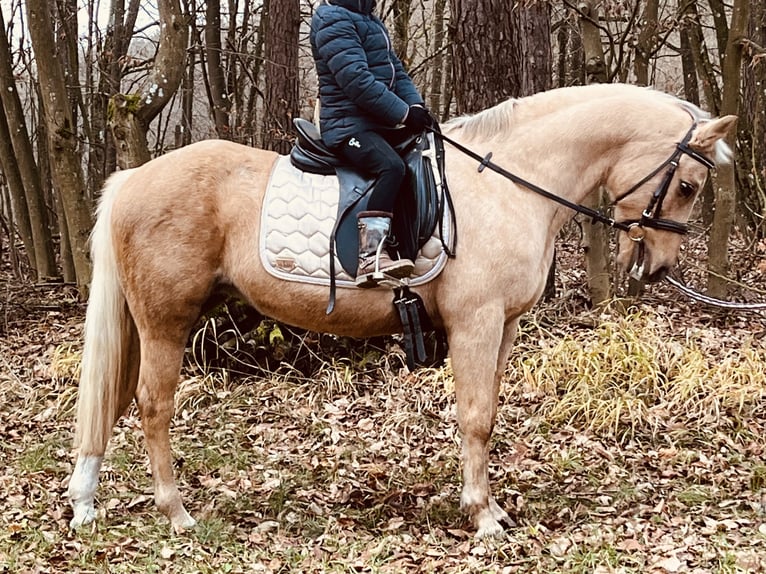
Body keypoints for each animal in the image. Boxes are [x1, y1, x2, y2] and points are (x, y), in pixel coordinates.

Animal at [67, 84, 736, 540]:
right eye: (688, 186)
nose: (657, 269)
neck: (509, 184)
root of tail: (132, 180)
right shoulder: (476, 323)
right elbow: (475, 417)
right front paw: (482, 516)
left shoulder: (504, 327)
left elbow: (488, 412)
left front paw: (489, 506)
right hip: (166, 323)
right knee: (153, 406)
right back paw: (176, 513)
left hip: (145, 323)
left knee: (115, 400)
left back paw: (85, 502)